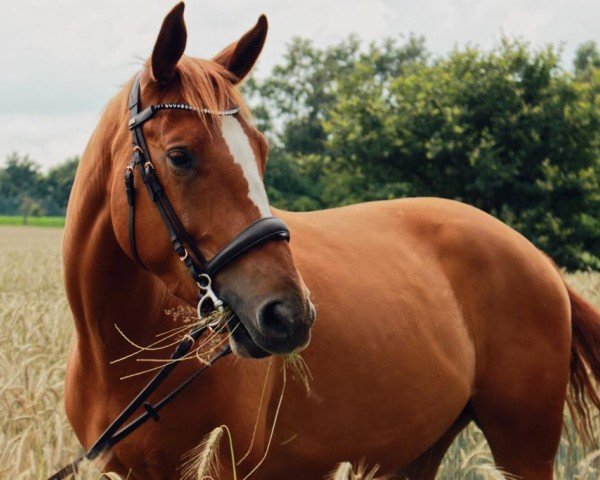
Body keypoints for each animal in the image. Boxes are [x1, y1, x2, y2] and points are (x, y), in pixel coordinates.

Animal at [61, 1, 600, 478]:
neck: (117, 355)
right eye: (179, 156)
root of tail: (540, 260)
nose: (288, 315)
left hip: (523, 451)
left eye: (262, 150)